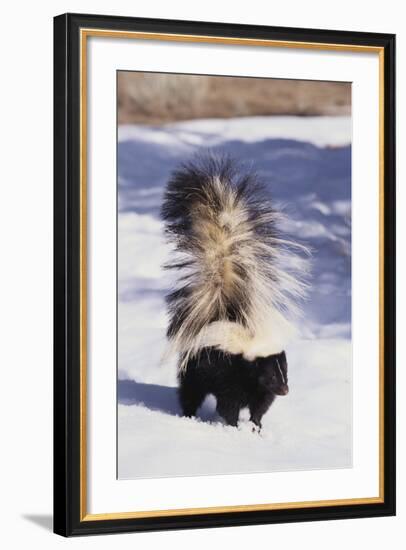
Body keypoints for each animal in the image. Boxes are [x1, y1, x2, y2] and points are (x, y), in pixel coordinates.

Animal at [160, 155, 310, 432]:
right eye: (271, 375)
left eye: (285, 371)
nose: (285, 390)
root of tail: (220, 314)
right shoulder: (230, 377)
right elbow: (228, 406)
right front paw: (232, 427)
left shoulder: (258, 391)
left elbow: (259, 408)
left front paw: (256, 427)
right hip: (194, 368)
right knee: (189, 392)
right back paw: (188, 415)